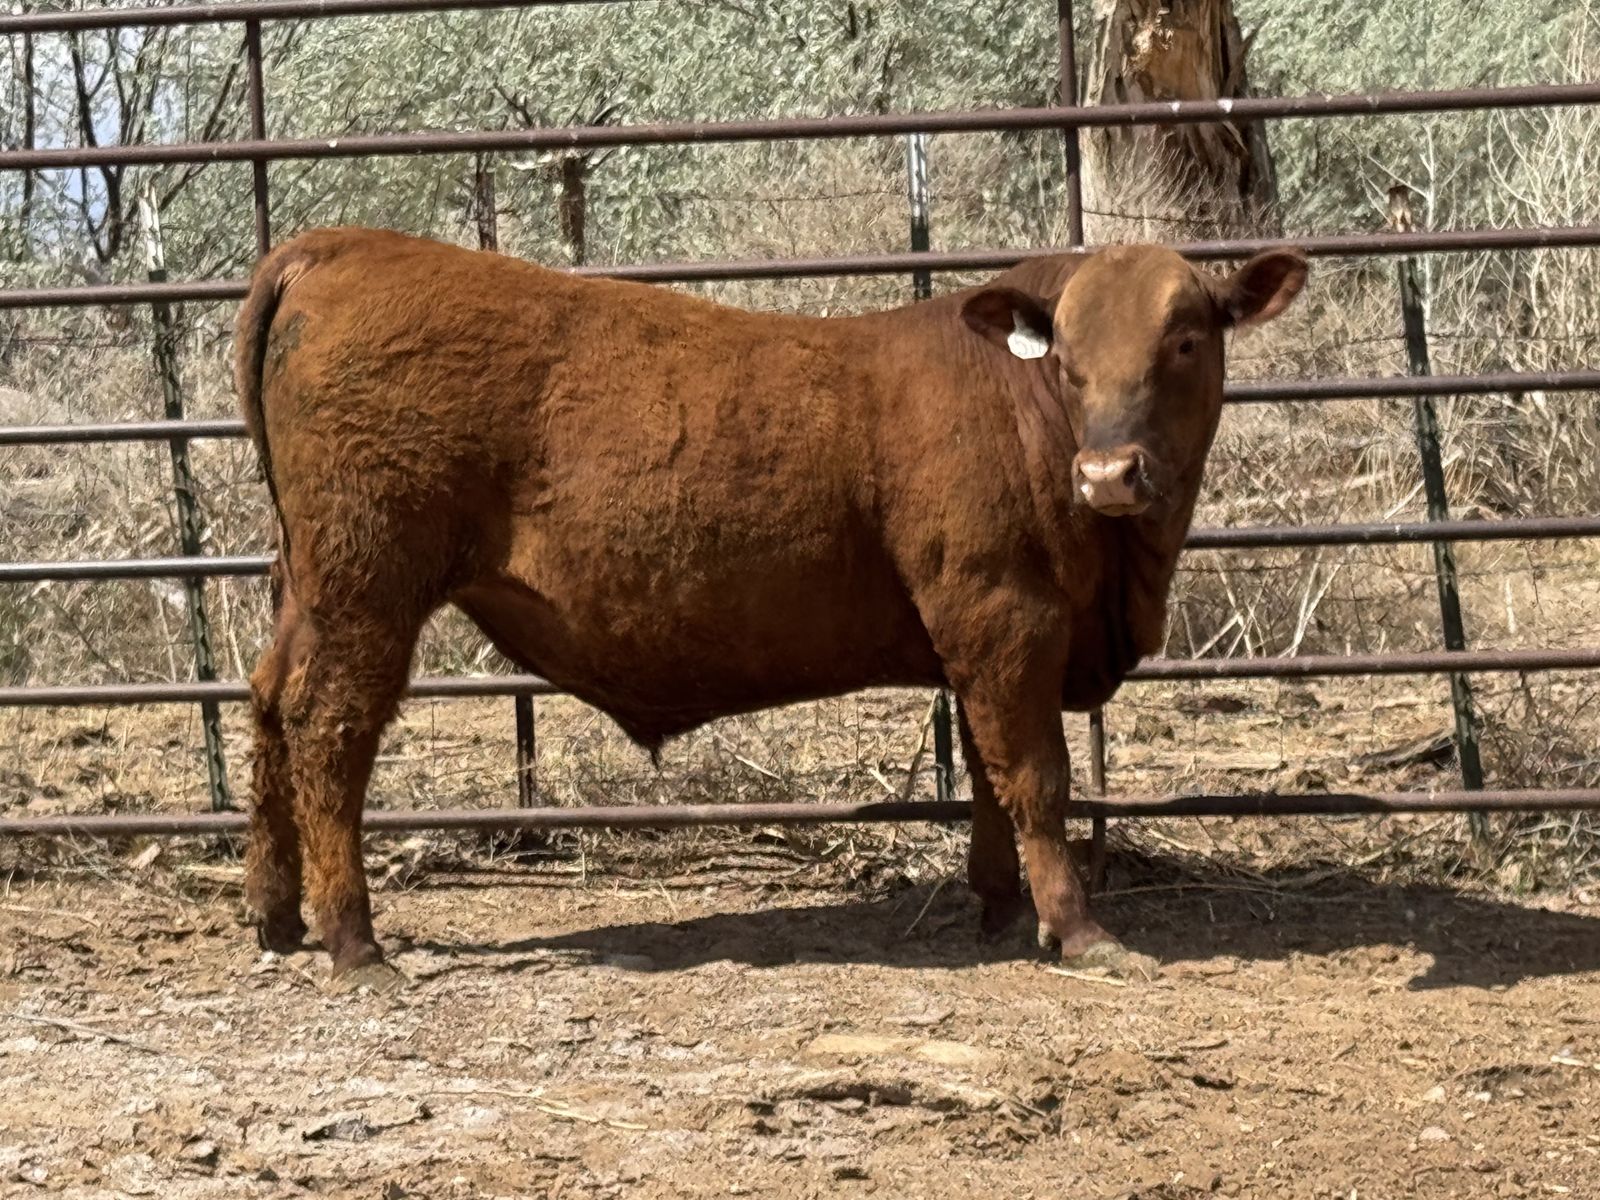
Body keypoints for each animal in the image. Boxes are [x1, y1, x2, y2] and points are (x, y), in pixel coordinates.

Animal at [233, 227, 1306, 986]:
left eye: (1185, 339)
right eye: (1069, 358)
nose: (1109, 473)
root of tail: (334, 246)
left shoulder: (978, 636)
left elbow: (987, 778)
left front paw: (1000, 909)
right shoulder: (1007, 617)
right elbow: (1036, 779)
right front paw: (1079, 929)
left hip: (309, 586)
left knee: (268, 701)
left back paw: (275, 915)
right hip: (367, 580)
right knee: (328, 725)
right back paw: (355, 944)